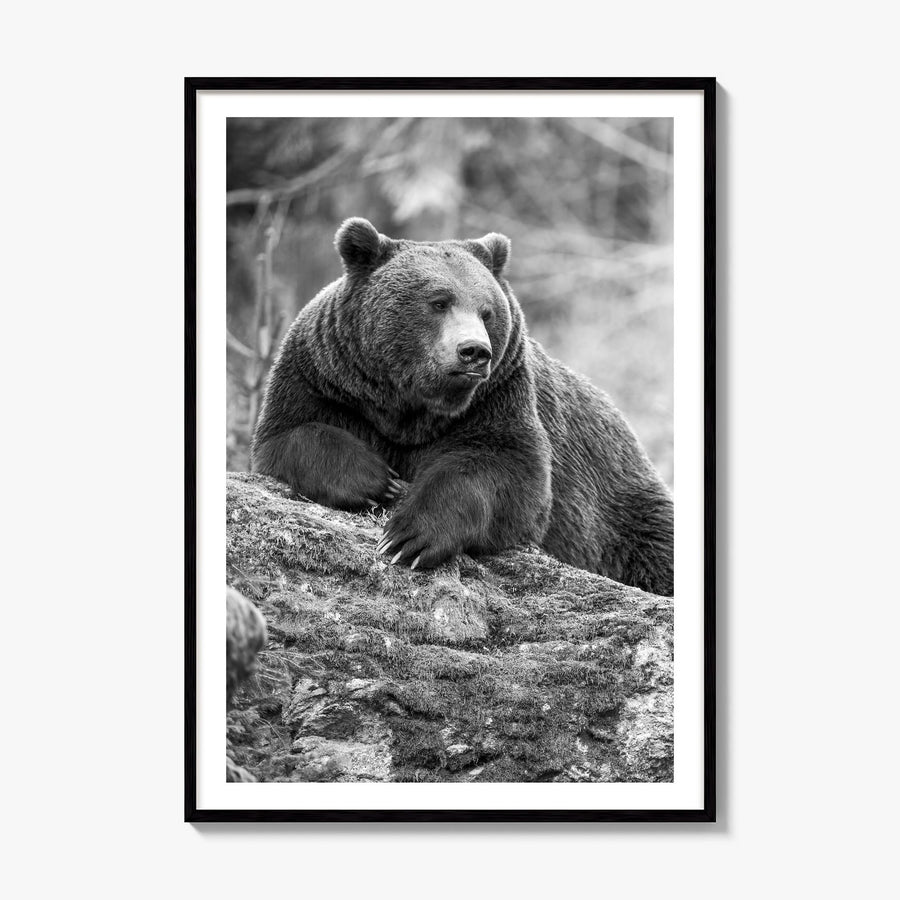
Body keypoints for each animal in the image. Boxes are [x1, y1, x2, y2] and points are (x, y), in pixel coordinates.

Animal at [251, 218, 674, 596]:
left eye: (487, 311)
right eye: (438, 301)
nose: (474, 351)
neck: (410, 407)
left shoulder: (498, 398)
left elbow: (505, 471)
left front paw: (410, 536)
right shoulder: (324, 379)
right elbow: (291, 434)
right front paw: (377, 480)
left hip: (622, 508)